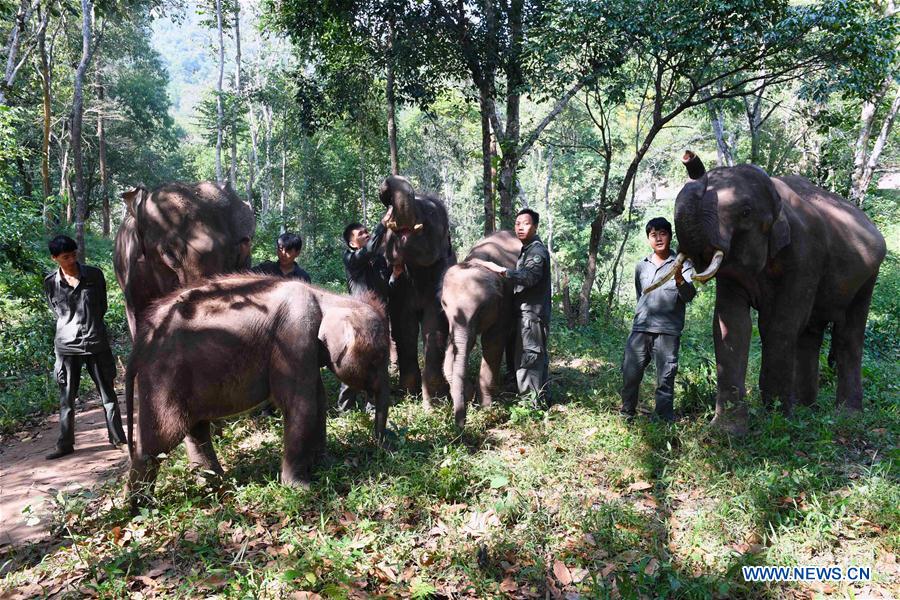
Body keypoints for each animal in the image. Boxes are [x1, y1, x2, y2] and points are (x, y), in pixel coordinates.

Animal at [124, 274, 390, 506]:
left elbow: (318, 400)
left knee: (195, 428)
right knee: (162, 437)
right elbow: (300, 405)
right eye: (378, 358)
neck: (327, 297)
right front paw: (301, 489)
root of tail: (140, 344)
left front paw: (324, 464)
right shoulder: (294, 335)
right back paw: (138, 506)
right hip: (163, 375)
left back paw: (216, 485)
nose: (381, 449)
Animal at [379, 175, 456, 408]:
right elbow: (405, 327)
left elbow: (435, 325)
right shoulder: (399, 288)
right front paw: (408, 393)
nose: (385, 190)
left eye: (430, 212)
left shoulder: (441, 275)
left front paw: (435, 402)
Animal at [442, 231, 521, 428]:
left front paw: (485, 408)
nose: (460, 427)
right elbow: (458, 344)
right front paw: (469, 395)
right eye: (444, 305)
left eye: (481, 310)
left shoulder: (504, 301)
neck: (480, 261)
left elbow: (492, 342)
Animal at [647, 152, 886, 435]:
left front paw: (777, 421)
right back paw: (806, 409)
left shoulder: (806, 255)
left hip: (867, 277)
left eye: (745, 212)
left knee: (848, 335)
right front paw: (726, 431)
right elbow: (732, 325)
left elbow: (778, 326)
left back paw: (845, 416)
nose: (690, 157)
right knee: (810, 334)